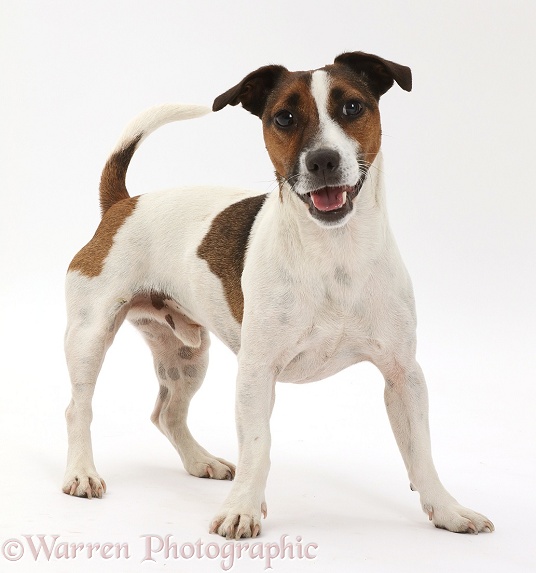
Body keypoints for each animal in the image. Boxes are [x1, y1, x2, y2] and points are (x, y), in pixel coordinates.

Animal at [63, 51, 494, 540]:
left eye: (352, 107)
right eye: (283, 118)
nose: (323, 160)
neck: (334, 254)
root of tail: (122, 204)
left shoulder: (404, 375)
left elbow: (421, 451)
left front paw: (448, 510)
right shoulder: (256, 372)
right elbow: (258, 445)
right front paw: (243, 510)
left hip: (186, 356)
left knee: (167, 413)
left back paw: (201, 461)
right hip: (89, 337)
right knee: (78, 407)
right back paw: (81, 473)